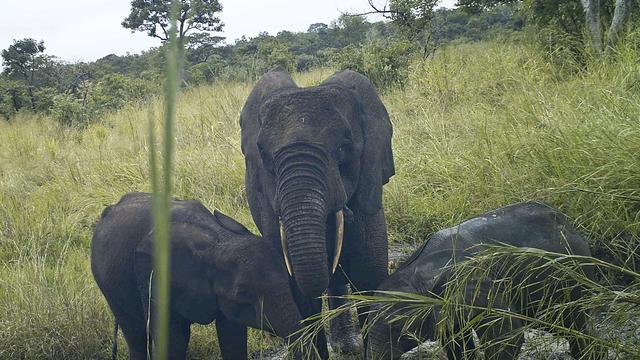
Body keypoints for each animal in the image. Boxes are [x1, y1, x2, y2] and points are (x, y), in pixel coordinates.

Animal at [90, 193, 302, 360]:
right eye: (242, 294)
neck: (218, 239)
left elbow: (232, 334)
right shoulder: (155, 278)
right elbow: (173, 340)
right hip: (109, 284)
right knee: (136, 335)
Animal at [364, 202, 604, 360]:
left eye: (397, 327)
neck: (418, 269)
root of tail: (571, 224)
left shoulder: (479, 282)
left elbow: (506, 334)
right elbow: (455, 342)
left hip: (572, 273)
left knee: (572, 321)